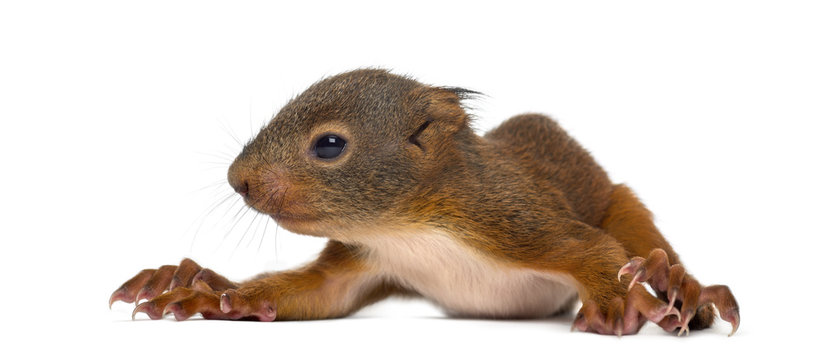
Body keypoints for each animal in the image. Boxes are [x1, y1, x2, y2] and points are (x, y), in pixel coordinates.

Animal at [108, 69, 740, 336]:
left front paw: (616, 303)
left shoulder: (514, 219)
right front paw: (213, 294)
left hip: (616, 201)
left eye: (330, 145)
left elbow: (591, 249)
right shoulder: (363, 264)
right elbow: (312, 295)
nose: (238, 180)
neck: (407, 227)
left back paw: (682, 288)